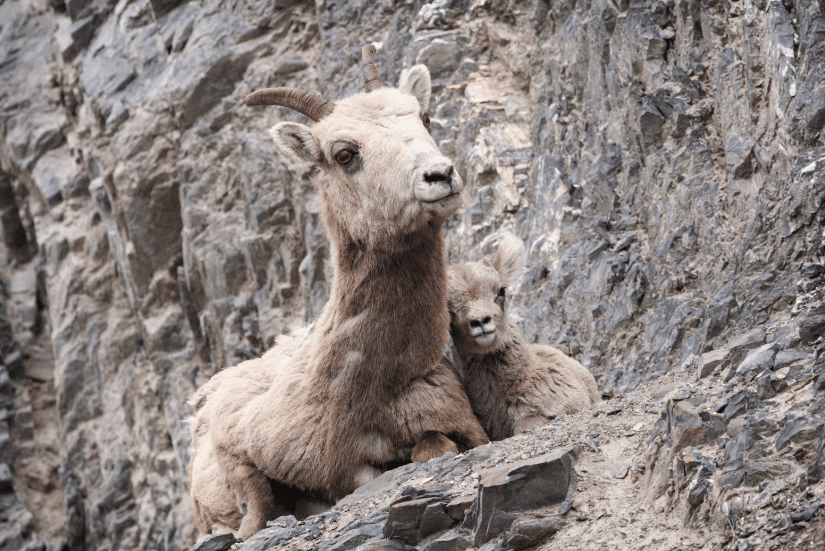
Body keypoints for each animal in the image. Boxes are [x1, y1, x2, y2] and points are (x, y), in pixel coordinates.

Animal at [188, 46, 490, 540]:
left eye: (424, 117)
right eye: (345, 154)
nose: (440, 175)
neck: (372, 391)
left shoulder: (459, 425)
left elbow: (434, 446)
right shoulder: (247, 450)